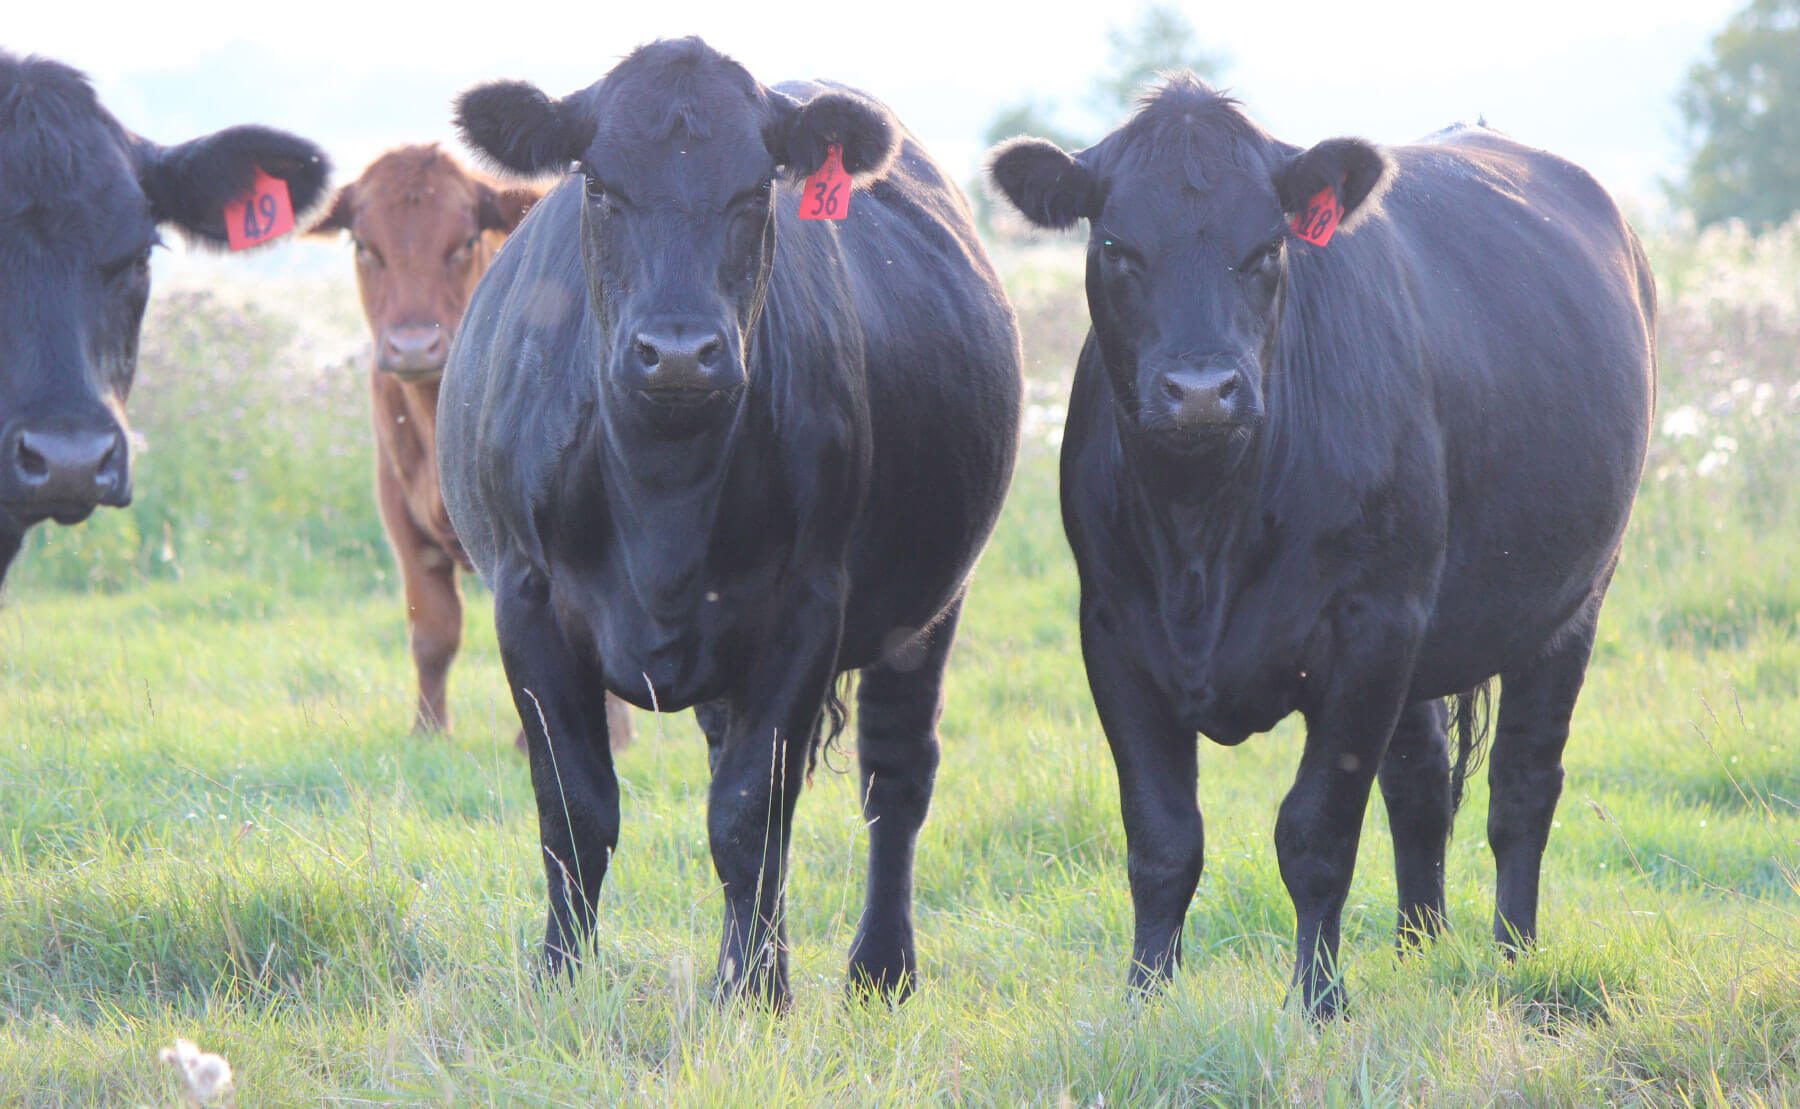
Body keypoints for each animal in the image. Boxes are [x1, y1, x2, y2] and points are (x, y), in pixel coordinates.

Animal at [309, 145, 634, 747]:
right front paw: (428, 729)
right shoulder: (399, 508)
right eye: (364, 245)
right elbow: (434, 630)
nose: (414, 345)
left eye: (463, 242)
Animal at [440, 37, 1022, 1006]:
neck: (662, 501)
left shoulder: (807, 608)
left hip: (932, 608)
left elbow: (749, 814)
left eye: (756, 191)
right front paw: (564, 976)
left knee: (894, 777)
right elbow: (575, 807)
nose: (678, 352)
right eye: (597, 186)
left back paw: (880, 967)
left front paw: (753, 993)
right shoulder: (526, 601)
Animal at [988, 75, 1655, 1019]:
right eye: (1116, 245)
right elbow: (1162, 839)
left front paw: (1318, 1003)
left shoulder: (1368, 628)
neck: (1204, 534)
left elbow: (1316, 835)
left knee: (1522, 785)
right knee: (1421, 782)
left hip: (1571, 600)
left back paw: (1513, 955)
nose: (1202, 390)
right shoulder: (1114, 631)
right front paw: (1144, 1000)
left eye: (1268, 246)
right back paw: (1420, 947)